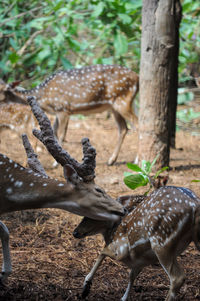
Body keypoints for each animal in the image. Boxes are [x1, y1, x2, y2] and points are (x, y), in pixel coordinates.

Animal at [0, 64, 139, 165]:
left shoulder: (63, 109)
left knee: (137, 123)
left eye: (2, 90)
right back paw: (111, 160)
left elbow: (61, 135)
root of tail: (137, 77)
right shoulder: (57, 112)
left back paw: (137, 161)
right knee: (123, 128)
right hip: (115, 106)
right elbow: (54, 132)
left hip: (122, 101)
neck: (44, 97)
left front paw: (56, 163)